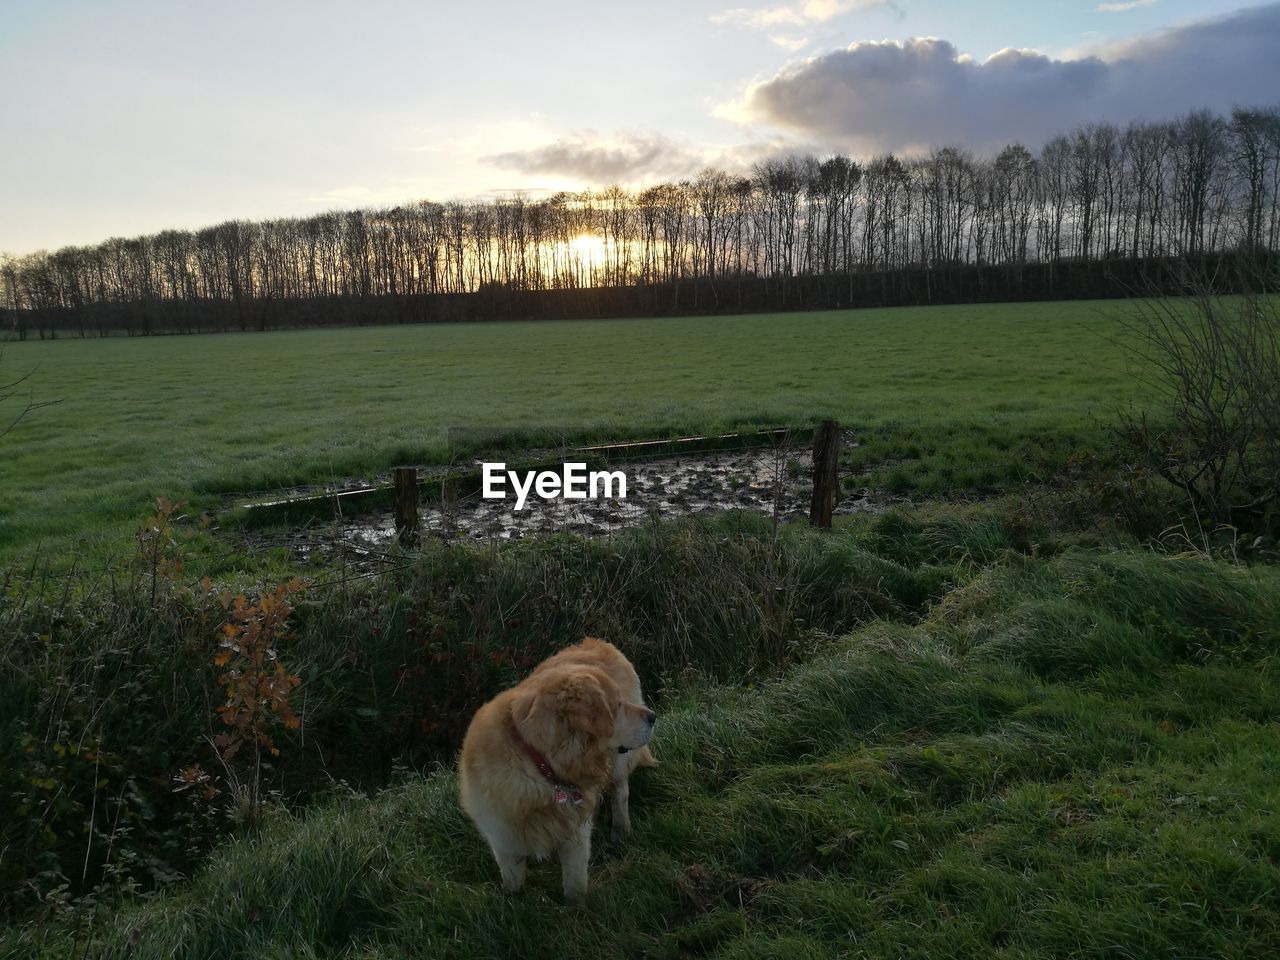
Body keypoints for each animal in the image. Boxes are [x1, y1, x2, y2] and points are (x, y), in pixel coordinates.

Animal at [458, 642, 655, 906]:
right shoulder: (503, 839)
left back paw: (620, 832)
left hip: (617, 765)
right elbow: (513, 885)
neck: (539, 764)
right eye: (618, 705)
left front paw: (576, 911)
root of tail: (598, 642)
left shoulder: (575, 837)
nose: (653, 716)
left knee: (620, 793)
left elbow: (574, 885)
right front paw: (514, 904)